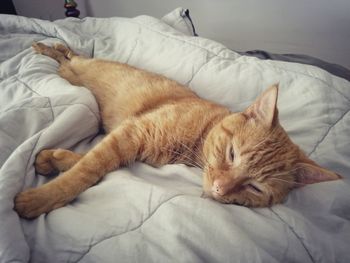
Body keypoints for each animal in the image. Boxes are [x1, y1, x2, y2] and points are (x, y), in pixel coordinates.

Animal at [15, 43, 340, 220]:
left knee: (69, 56)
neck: (194, 146)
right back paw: (47, 47)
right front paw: (41, 198)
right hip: (72, 71)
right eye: (232, 154)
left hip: (70, 73)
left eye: (255, 188)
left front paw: (54, 158)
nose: (219, 189)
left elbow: (91, 159)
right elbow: (86, 170)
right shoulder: (133, 132)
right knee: (70, 54)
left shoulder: (128, 142)